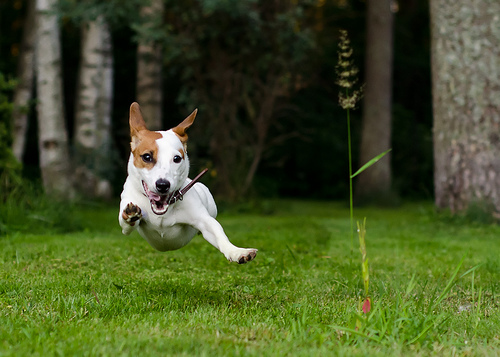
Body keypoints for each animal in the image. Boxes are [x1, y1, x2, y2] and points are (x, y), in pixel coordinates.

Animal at [118, 101, 258, 262]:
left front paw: (237, 252)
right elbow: (126, 224)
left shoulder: (203, 220)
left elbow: (217, 231)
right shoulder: (127, 217)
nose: (163, 185)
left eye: (177, 158)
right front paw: (131, 215)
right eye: (146, 157)